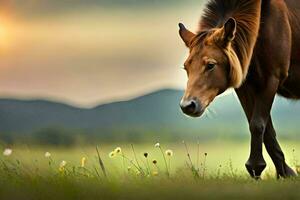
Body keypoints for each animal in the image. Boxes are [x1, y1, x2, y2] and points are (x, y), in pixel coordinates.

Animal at [178, 0, 300, 178]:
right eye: (186, 67)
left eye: (210, 65)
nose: (187, 106)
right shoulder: (245, 86)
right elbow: (265, 130)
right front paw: (285, 173)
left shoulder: (271, 79)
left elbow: (258, 124)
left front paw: (256, 166)